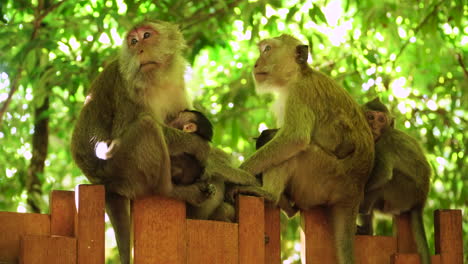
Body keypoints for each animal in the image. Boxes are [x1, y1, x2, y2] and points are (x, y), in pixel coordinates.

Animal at [70, 20, 214, 264]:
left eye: (147, 35)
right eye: (133, 41)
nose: (139, 49)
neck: (156, 81)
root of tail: (104, 184)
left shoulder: (176, 86)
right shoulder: (128, 91)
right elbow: (111, 142)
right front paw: (198, 146)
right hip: (122, 170)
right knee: (147, 126)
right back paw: (169, 191)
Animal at [232, 35, 374, 264]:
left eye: (267, 49)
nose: (255, 64)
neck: (298, 75)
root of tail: (355, 191)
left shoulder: (299, 94)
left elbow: (294, 139)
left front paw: (240, 171)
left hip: (323, 177)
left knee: (296, 154)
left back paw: (269, 194)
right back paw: (286, 205)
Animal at [358, 97, 432, 264]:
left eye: (381, 120)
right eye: (370, 117)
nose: (374, 126)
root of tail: (421, 202)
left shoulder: (385, 143)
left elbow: (383, 174)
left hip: (404, 192)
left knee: (385, 183)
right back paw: (366, 229)